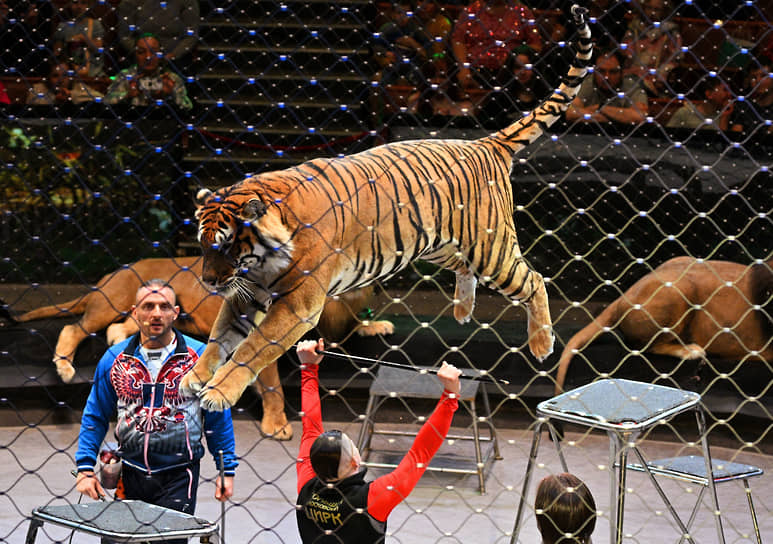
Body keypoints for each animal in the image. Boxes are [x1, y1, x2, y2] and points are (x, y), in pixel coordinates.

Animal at [184, 7, 596, 408]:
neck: (261, 258)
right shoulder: (245, 292)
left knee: (534, 281)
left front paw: (218, 393)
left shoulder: (295, 305)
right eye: (203, 246)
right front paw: (194, 378)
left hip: (490, 250)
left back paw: (541, 343)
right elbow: (219, 339)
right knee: (466, 269)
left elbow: (250, 350)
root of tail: (484, 143)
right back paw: (463, 311)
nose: (208, 281)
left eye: (225, 245)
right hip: (439, 245)